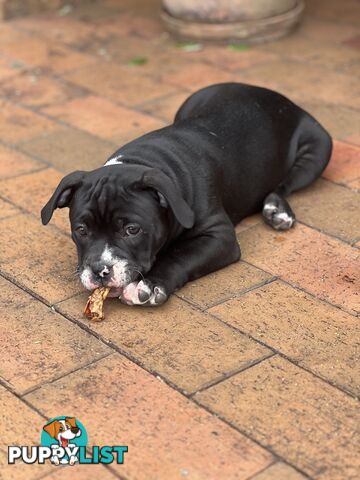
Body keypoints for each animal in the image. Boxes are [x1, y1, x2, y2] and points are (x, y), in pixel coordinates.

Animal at [40, 83, 332, 306]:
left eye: (132, 230)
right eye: (81, 230)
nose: (100, 271)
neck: (145, 161)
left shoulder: (220, 237)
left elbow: (181, 256)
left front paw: (150, 285)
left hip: (318, 147)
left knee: (285, 183)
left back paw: (277, 210)